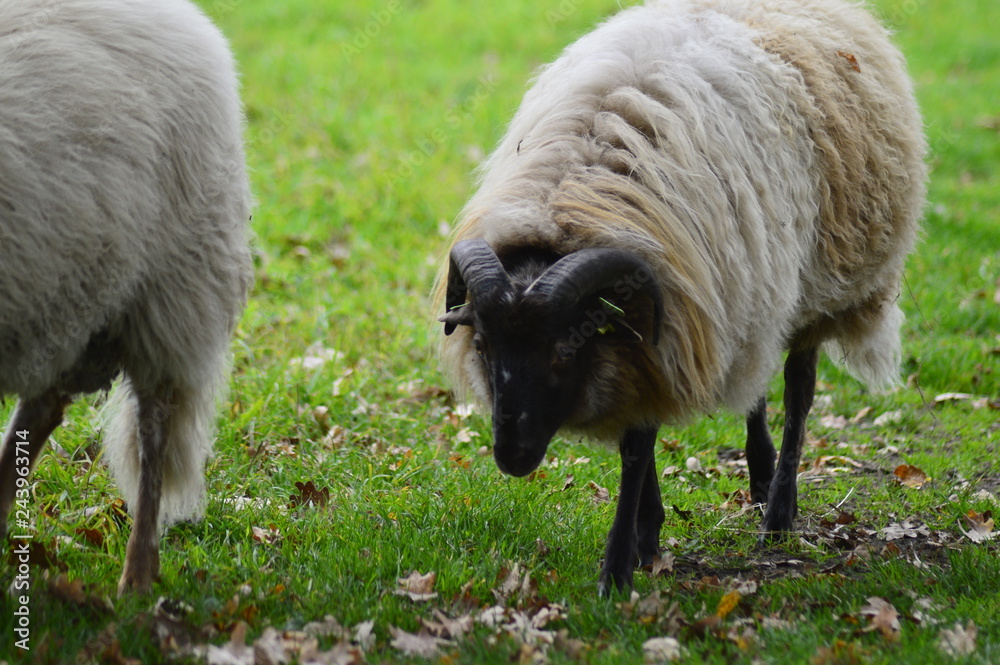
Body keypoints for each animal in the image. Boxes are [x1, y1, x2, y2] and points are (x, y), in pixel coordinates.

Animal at [436, 0, 926, 594]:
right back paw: (759, 476)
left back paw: (778, 515)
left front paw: (618, 569)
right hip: (750, 289)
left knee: (798, 391)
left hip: (821, 286)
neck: (571, 205)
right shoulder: (662, 331)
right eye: (483, 346)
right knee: (757, 378)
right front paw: (648, 535)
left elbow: (636, 446)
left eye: (563, 352)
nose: (511, 457)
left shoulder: (662, 328)